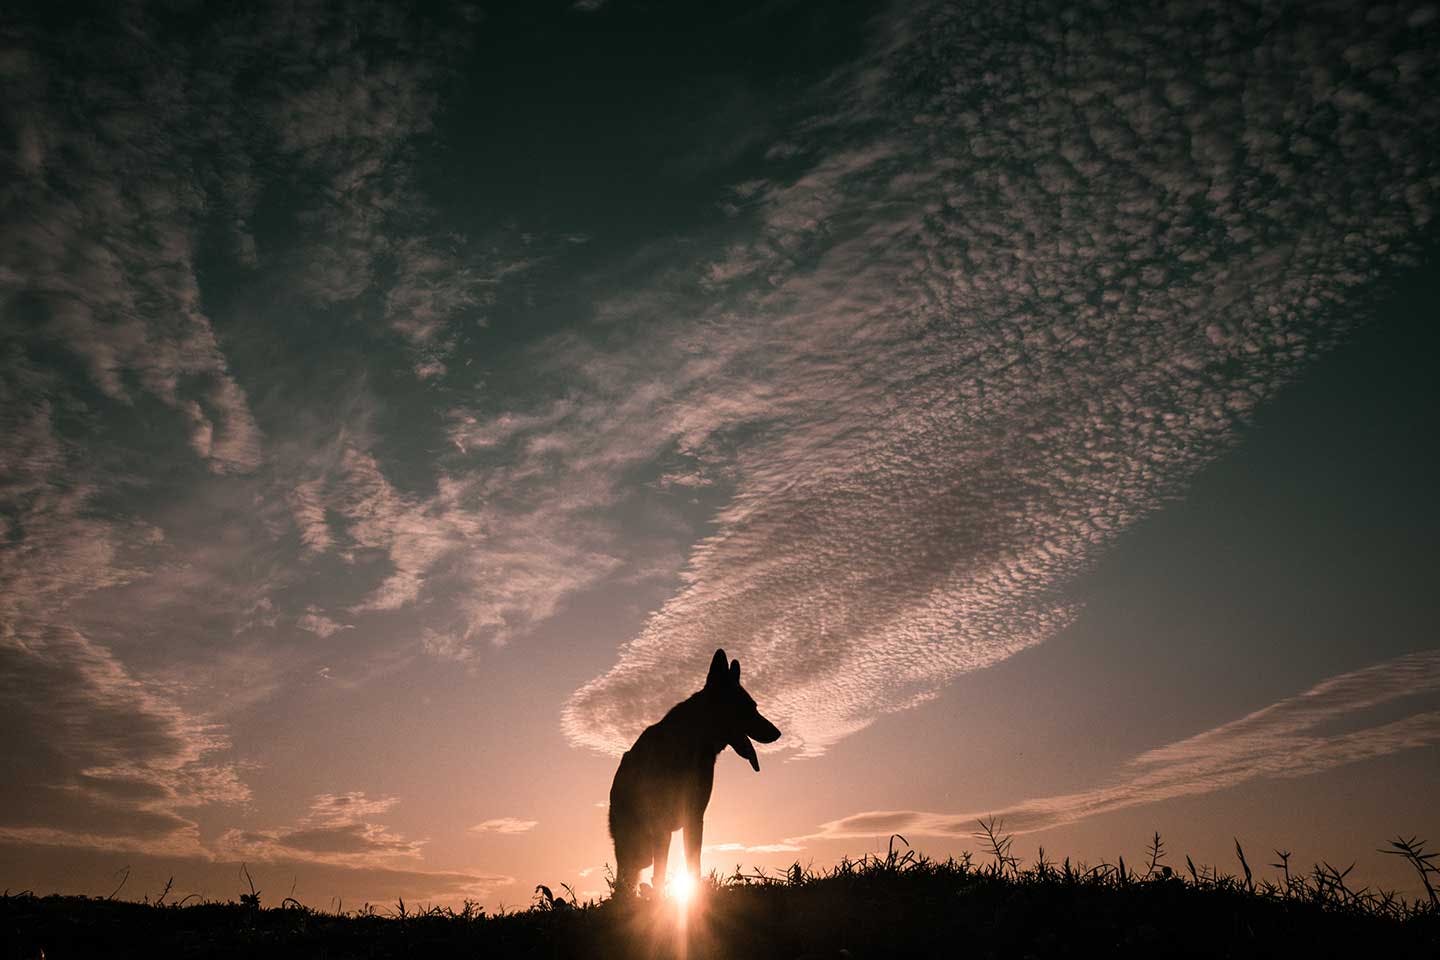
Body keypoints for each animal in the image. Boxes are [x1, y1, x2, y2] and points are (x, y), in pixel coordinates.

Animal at [610, 650, 789, 898]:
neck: (692, 737)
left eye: (755, 706)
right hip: (638, 843)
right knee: (628, 873)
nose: (778, 732)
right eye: (749, 707)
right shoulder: (664, 824)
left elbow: (693, 864)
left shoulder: (694, 817)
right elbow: (662, 871)